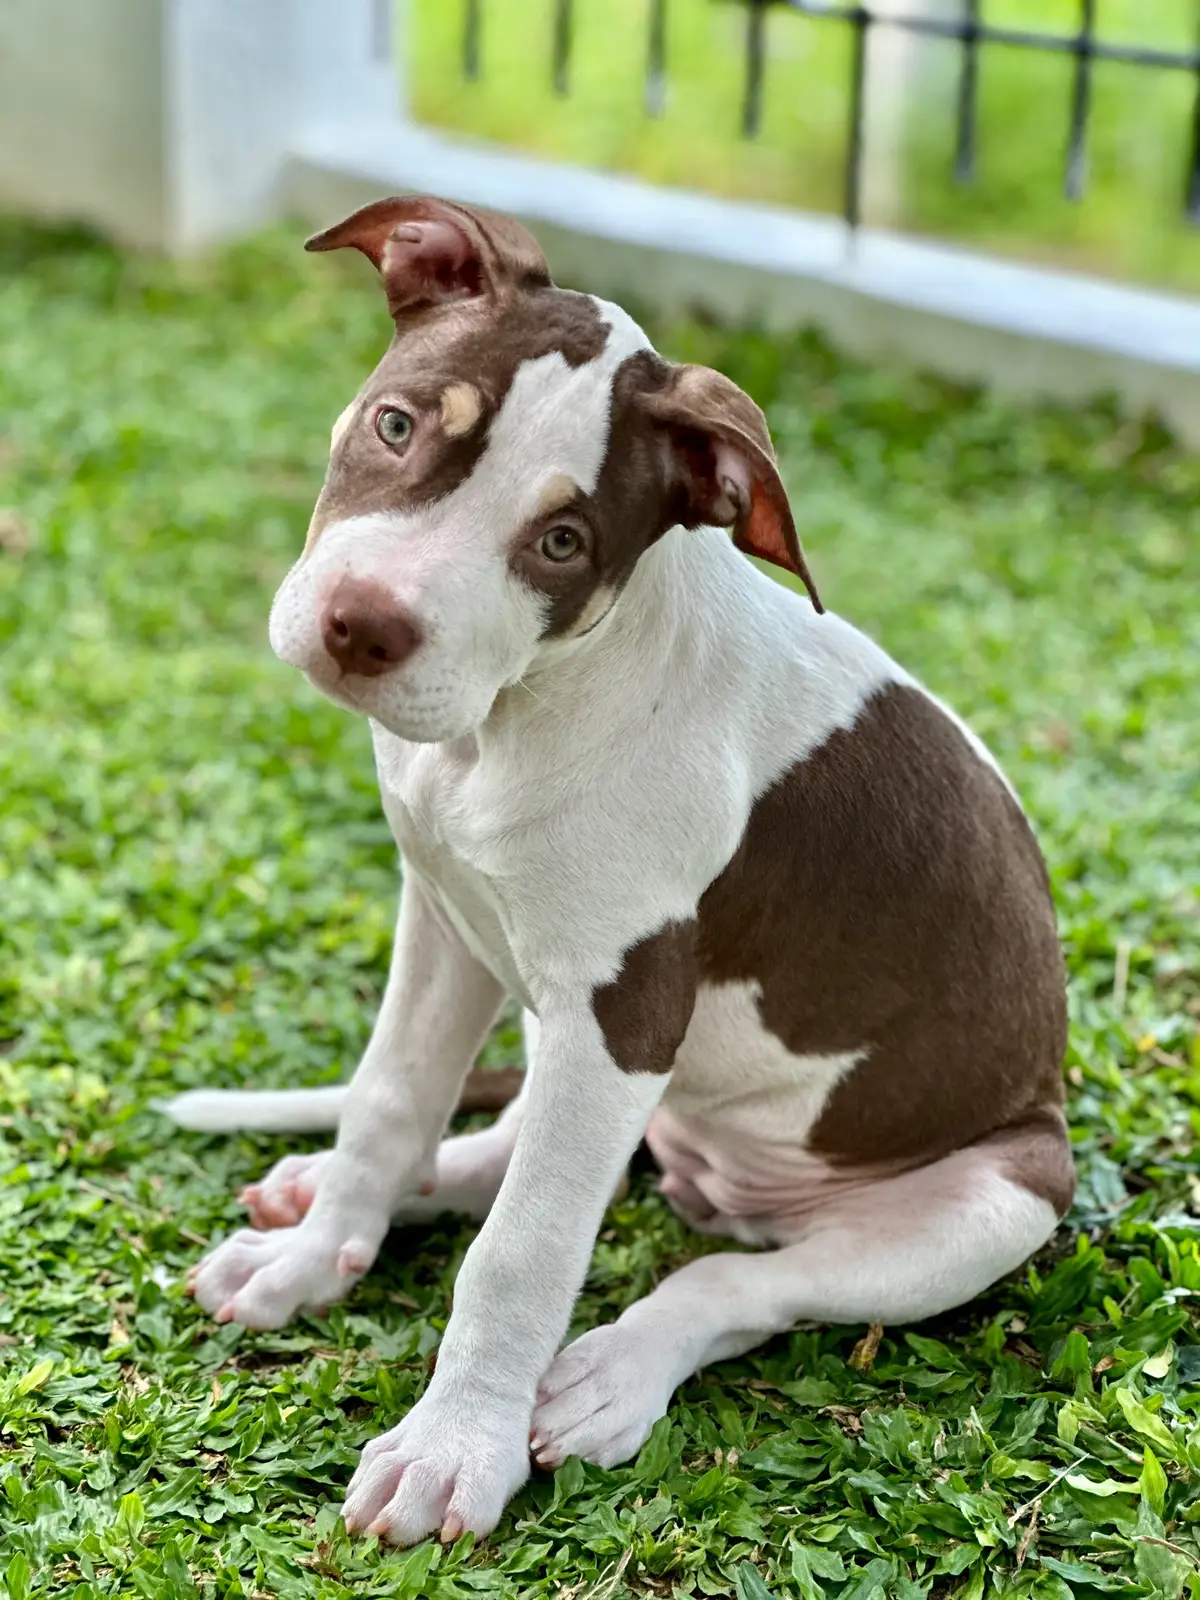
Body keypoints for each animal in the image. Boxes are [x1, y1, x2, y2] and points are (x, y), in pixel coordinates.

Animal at [162, 196, 1068, 1548]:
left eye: (562, 542)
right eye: (398, 425)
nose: (363, 627)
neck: (515, 716)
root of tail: (719, 1186)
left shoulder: (625, 1007)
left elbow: (526, 1249)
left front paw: (454, 1449)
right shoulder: (447, 924)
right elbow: (391, 1101)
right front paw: (320, 1255)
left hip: (986, 1203)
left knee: (738, 1281)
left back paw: (608, 1377)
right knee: (510, 1151)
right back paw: (334, 1195)